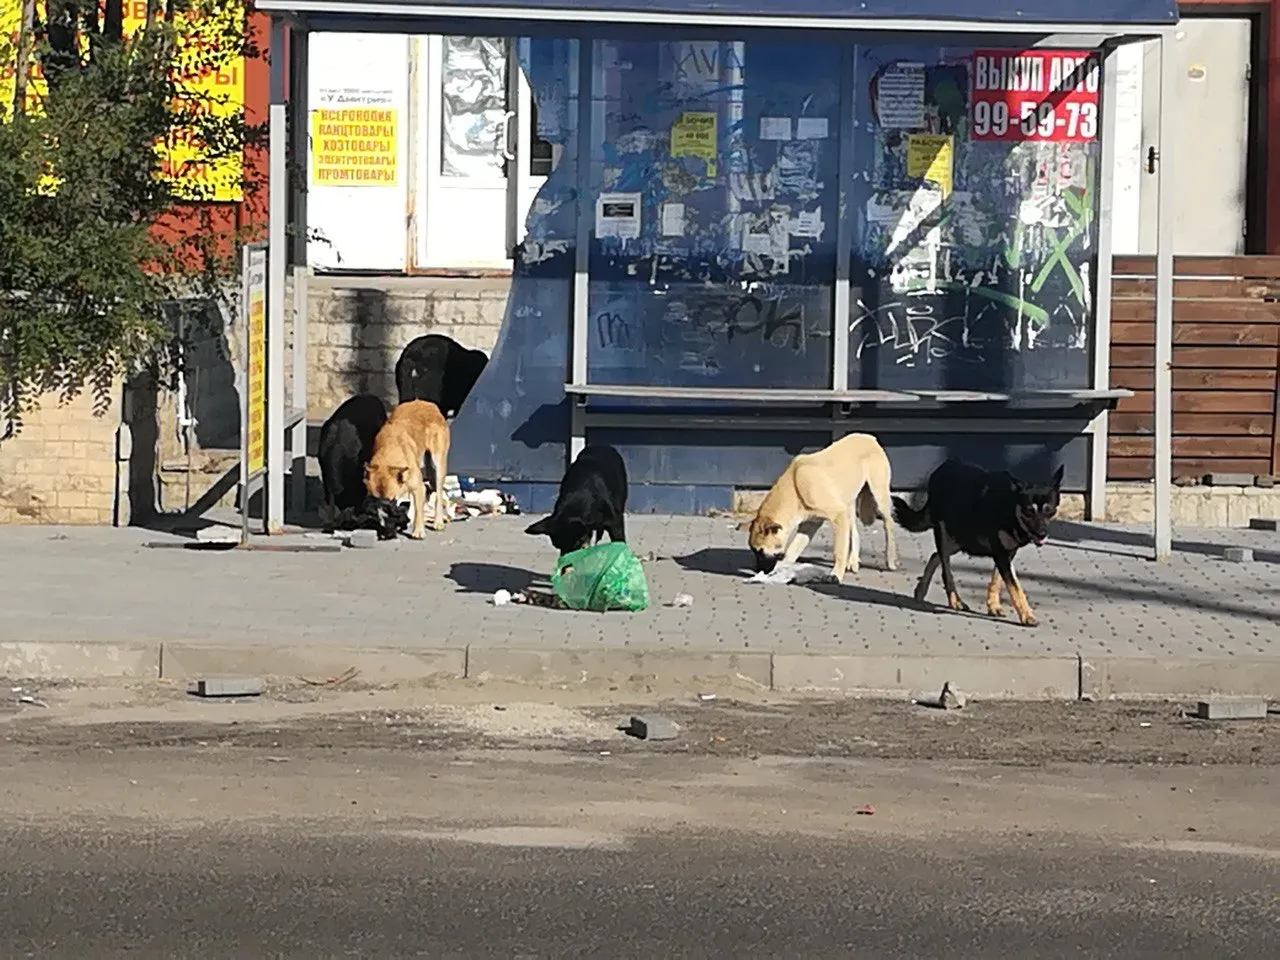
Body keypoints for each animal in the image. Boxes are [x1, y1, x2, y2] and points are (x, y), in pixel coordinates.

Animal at [366, 396, 450, 537]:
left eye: (392, 499)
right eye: (375, 501)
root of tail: (428, 404)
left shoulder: (419, 487)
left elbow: (419, 508)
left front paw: (418, 530)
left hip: (437, 466)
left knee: (438, 494)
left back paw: (438, 521)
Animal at [742, 435, 901, 578]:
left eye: (761, 551)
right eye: (754, 550)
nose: (759, 571)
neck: (796, 486)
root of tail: (870, 438)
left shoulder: (838, 516)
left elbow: (839, 551)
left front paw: (836, 574)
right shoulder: (810, 524)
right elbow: (793, 549)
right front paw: (783, 567)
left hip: (879, 496)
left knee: (889, 523)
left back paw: (890, 560)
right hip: (848, 503)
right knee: (855, 532)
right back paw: (854, 561)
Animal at [890, 460, 1059, 627]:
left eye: (1049, 510)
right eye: (1029, 511)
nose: (1042, 534)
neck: (1010, 505)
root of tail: (940, 469)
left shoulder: (1006, 553)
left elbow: (997, 579)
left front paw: (994, 606)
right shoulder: (1001, 554)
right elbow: (1015, 587)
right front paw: (1027, 615)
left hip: (961, 540)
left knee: (934, 556)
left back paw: (922, 589)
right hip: (947, 537)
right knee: (946, 571)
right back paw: (955, 601)